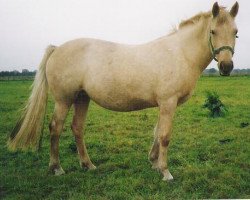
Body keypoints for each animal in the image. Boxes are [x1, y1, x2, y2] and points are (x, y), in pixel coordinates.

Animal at [7, 2, 238, 181]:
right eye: (213, 31)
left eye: (235, 32)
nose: (226, 66)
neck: (179, 52)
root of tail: (57, 48)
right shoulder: (168, 102)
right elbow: (164, 135)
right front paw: (165, 172)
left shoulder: (162, 104)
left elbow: (156, 132)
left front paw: (154, 163)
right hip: (64, 100)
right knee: (55, 128)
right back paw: (56, 168)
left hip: (82, 98)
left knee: (77, 128)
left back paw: (88, 165)